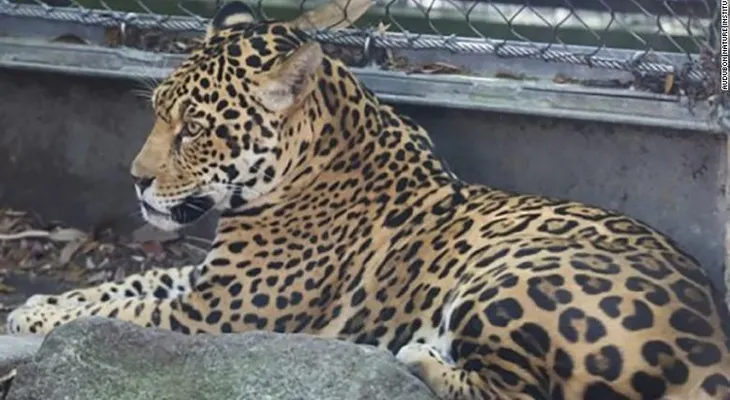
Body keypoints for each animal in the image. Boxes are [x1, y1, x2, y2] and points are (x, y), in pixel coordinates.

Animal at [6, 1, 730, 399]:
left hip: (514, 278)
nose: (136, 178)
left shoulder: (216, 315)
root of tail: (712, 343)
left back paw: (419, 357)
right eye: (158, 112)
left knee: (521, 395)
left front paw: (42, 319)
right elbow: (125, 287)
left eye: (196, 129)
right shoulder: (208, 282)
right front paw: (40, 307)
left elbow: (125, 310)